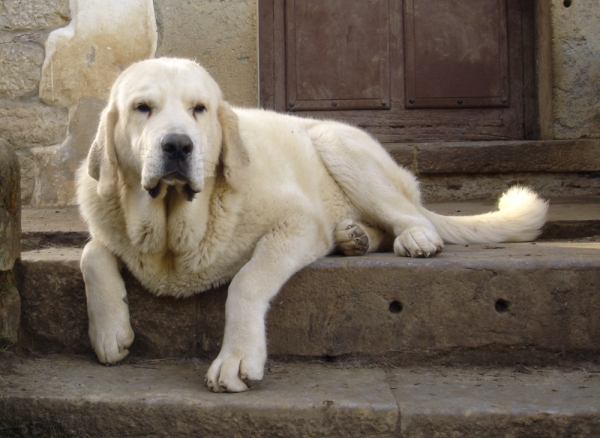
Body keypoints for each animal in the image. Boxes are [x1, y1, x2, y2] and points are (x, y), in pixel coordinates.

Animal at [76, 57, 548, 394]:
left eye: (199, 109)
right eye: (142, 108)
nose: (177, 145)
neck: (173, 230)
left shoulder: (298, 223)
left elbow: (246, 280)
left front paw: (237, 356)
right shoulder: (107, 220)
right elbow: (90, 253)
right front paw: (109, 330)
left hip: (333, 141)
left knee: (410, 216)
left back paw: (413, 238)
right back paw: (354, 238)